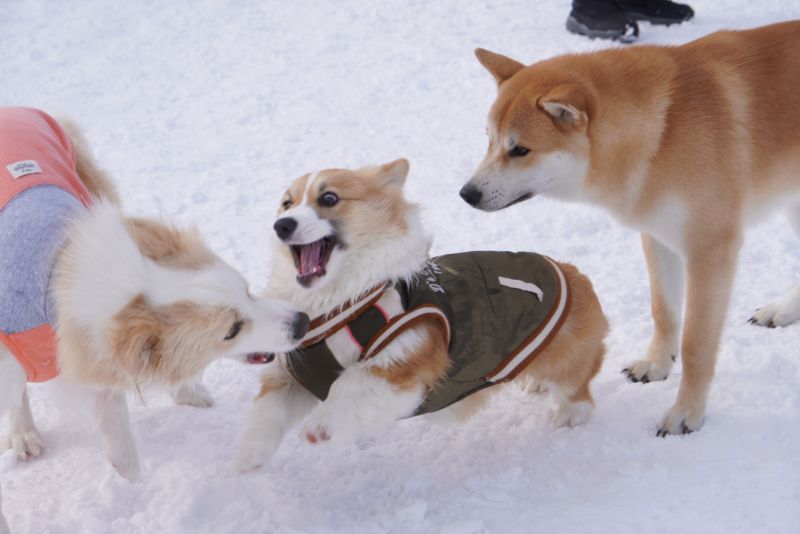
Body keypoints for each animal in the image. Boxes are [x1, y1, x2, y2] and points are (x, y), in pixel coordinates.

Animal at [0, 110, 310, 486]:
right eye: (232, 330)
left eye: (248, 290)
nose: (302, 322)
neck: (55, 270)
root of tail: (12, 110)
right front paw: (126, 470)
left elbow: (113, 396)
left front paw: (125, 467)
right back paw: (24, 434)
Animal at [233, 159, 608, 474]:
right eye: (287, 203)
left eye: (328, 198)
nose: (281, 225)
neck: (343, 302)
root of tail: (573, 273)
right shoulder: (295, 373)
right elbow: (267, 411)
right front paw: (249, 458)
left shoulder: (404, 359)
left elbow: (350, 384)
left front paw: (319, 427)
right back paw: (534, 382)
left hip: (567, 357)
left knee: (578, 382)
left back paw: (571, 414)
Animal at [460, 23, 800, 438]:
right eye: (489, 140)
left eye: (520, 150)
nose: (467, 194)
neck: (664, 130)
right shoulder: (658, 237)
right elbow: (663, 311)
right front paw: (656, 365)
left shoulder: (710, 249)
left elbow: (696, 345)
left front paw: (686, 413)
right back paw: (783, 311)